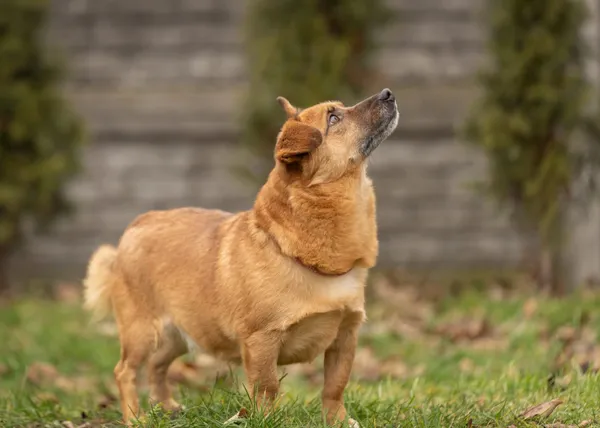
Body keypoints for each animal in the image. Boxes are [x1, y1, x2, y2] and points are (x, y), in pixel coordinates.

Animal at [82, 88, 396, 426]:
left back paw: (166, 408)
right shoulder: (262, 341)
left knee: (157, 366)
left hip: (179, 334)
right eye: (333, 118)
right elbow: (267, 387)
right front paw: (267, 419)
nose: (387, 93)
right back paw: (135, 417)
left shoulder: (345, 336)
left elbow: (335, 386)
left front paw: (336, 420)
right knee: (125, 371)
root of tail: (136, 225)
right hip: (142, 332)